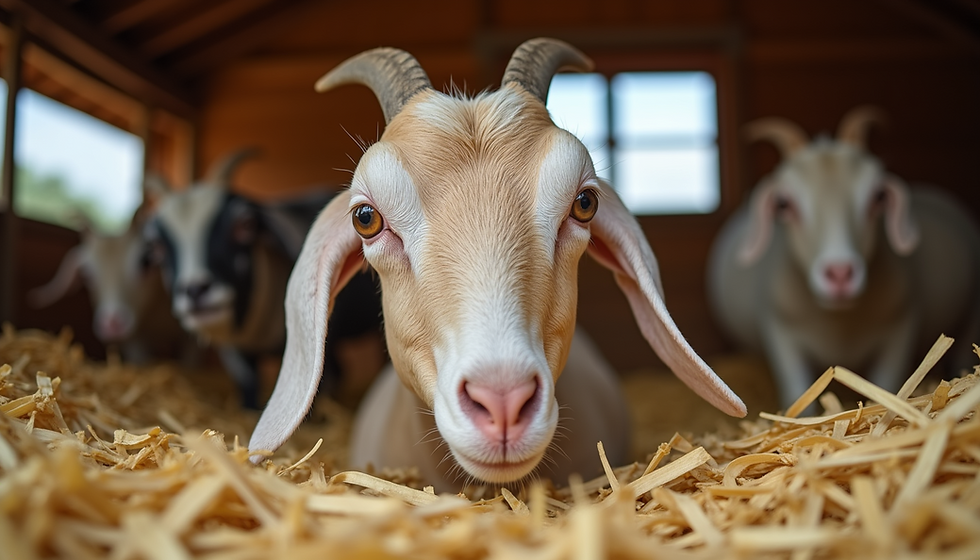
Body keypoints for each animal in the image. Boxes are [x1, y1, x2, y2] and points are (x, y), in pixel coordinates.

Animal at [708, 107, 980, 409]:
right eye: (784, 204)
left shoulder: (901, 328)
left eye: (878, 197)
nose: (840, 273)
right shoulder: (781, 333)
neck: (838, 324)